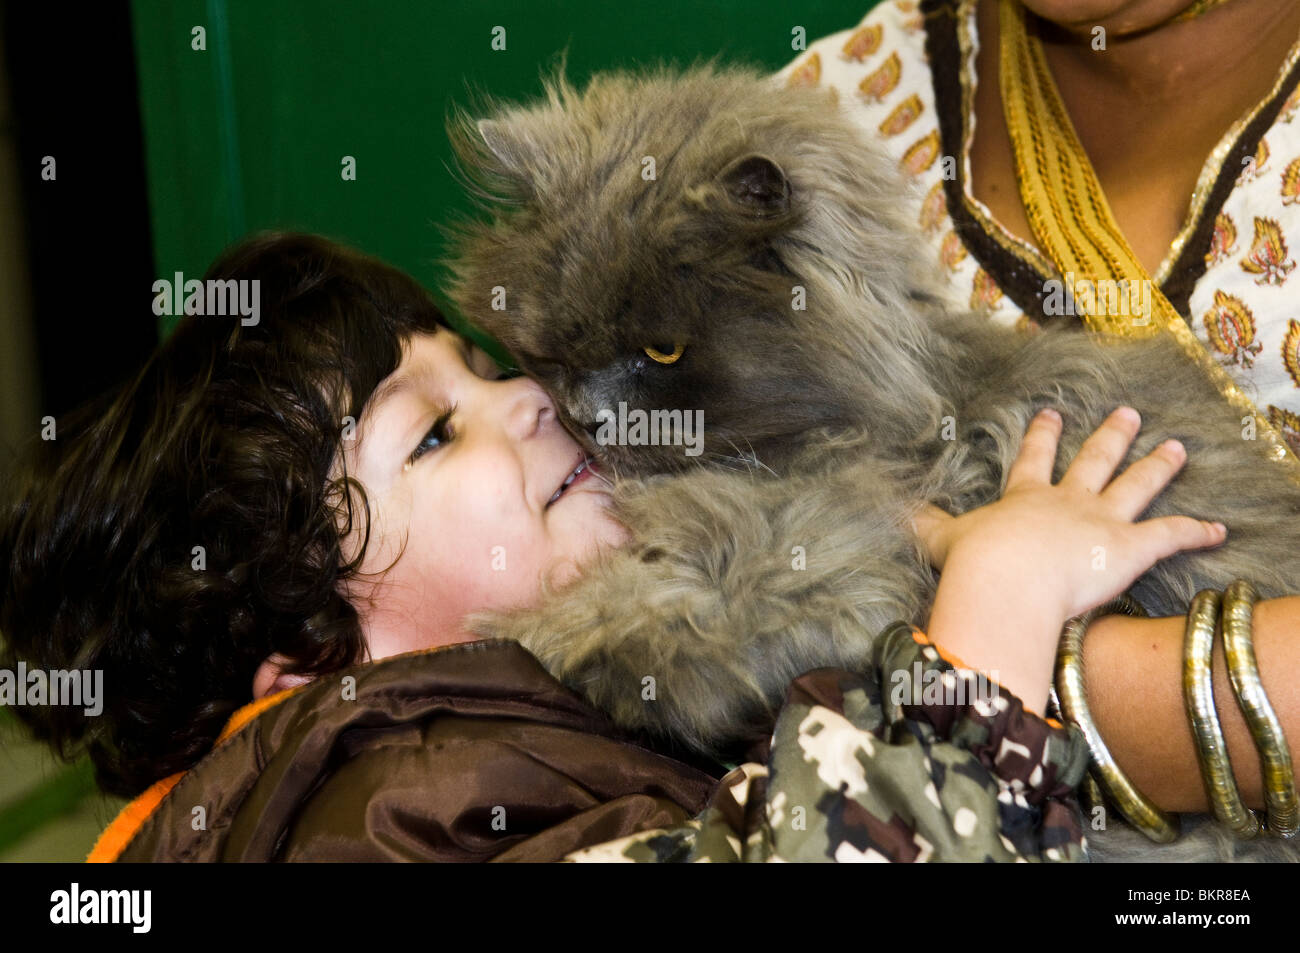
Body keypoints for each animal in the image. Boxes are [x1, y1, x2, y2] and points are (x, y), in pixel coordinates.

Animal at [444, 63, 1300, 858]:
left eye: (662, 352)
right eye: (551, 353)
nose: (583, 417)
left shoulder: (811, 561)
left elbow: (644, 623)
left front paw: (531, 641)